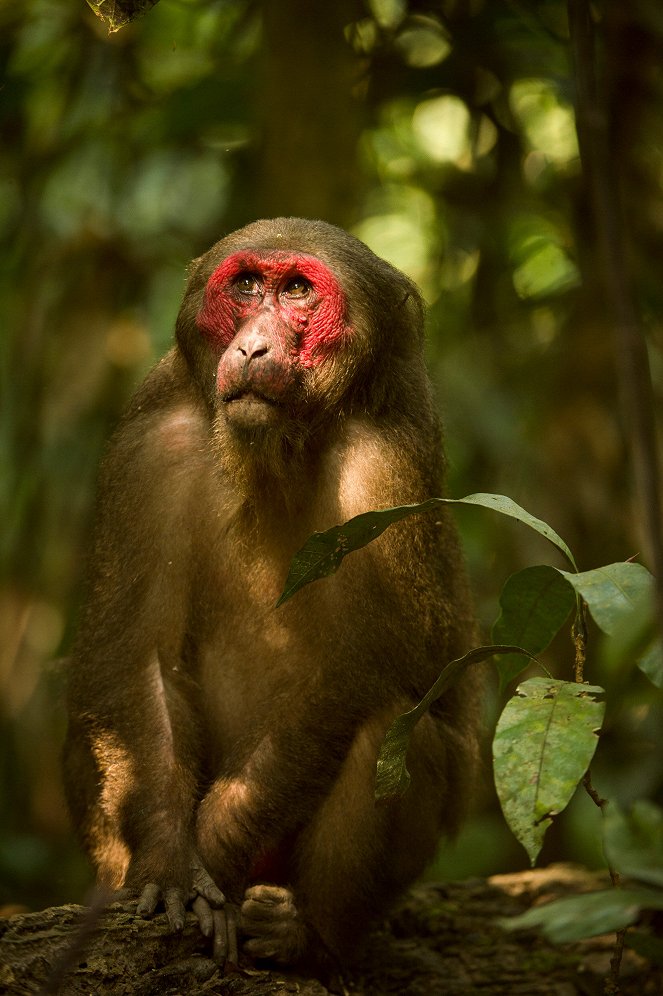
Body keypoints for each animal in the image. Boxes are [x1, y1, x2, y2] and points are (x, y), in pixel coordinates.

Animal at [63, 218, 482, 972]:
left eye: (296, 293)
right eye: (249, 286)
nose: (254, 345)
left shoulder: (387, 466)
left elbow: (360, 666)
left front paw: (216, 842)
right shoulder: (149, 445)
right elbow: (138, 656)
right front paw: (170, 864)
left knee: (394, 725)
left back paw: (306, 934)